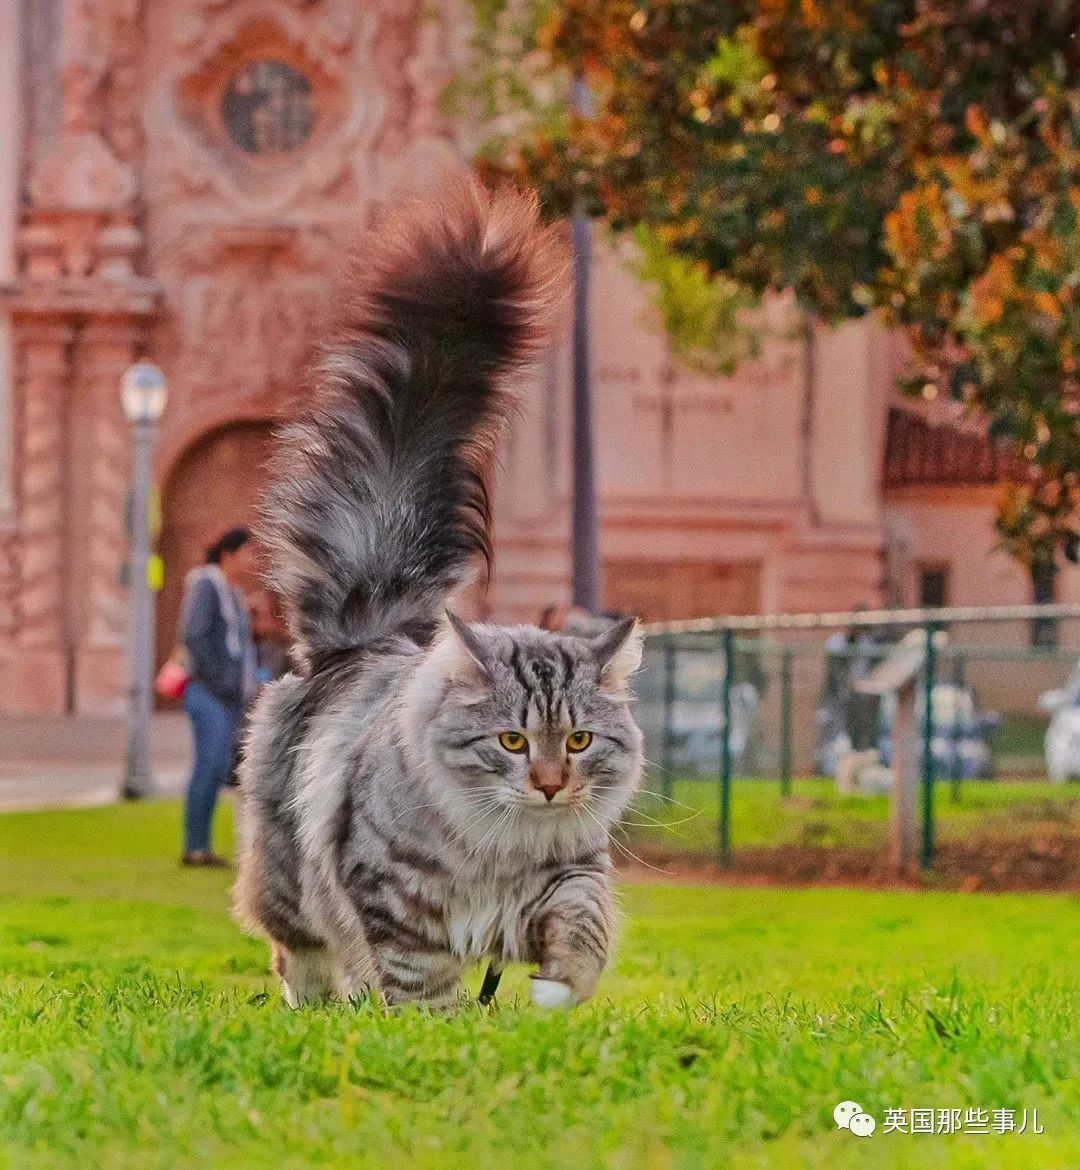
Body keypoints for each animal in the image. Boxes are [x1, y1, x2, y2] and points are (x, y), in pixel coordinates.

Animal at [234, 182, 641, 1006]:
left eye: (579, 741)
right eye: (511, 741)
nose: (549, 786)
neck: (500, 846)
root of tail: (368, 630)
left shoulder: (568, 872)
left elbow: (585, 924)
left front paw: (557, 993)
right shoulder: (392, 898)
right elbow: (422, 984)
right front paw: (438, 1029)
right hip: (291, 884)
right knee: (299, 952)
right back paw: (317, 1007)